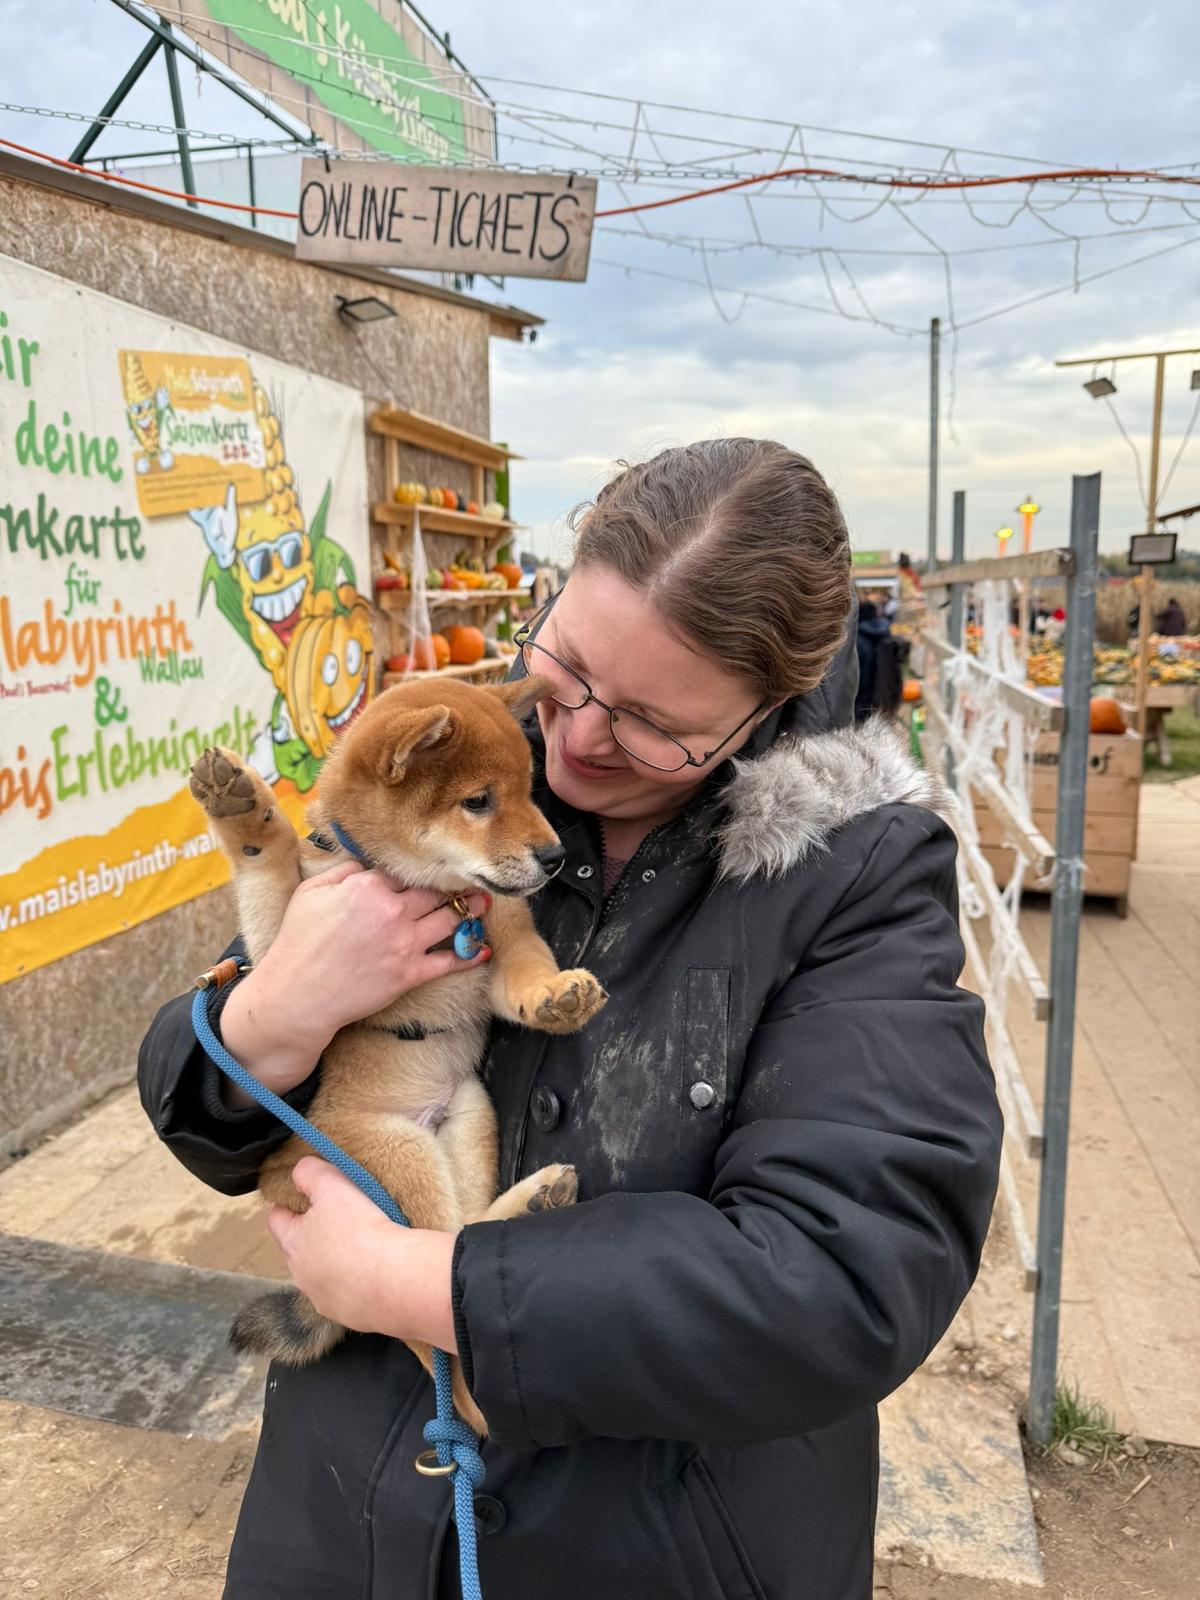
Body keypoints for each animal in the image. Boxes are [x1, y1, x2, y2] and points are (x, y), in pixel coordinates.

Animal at [188, 674, 607, 1434]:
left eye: (530, 790)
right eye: (478, 801)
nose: (556, 858)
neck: (430, 895)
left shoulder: (501, 938)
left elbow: (527, 969)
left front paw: (556, 995)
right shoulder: (286, 943)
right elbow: (271, 873)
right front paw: (246, 814)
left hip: (466, 1120)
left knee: (454, 1251)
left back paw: (532, 1202)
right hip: (394, 1156)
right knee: (427, 1315)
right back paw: (471, 1412)